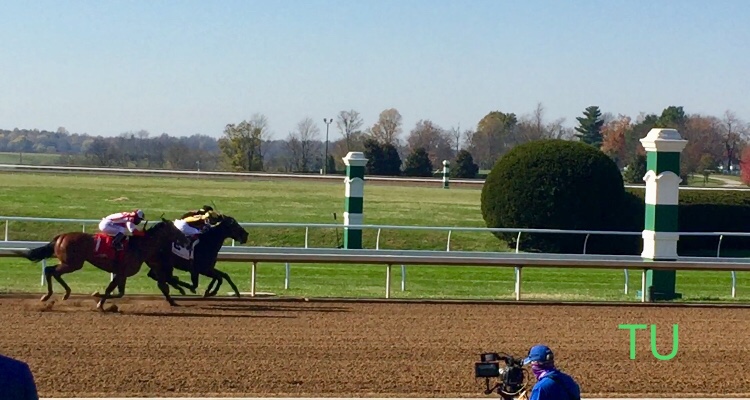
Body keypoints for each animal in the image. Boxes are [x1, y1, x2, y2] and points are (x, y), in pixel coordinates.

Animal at [14, 219, 189, 310]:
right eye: (175, 229)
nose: (186, 239)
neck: (139, 246)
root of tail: (61, 236)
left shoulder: (122, 273)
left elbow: (118, 292)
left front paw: (100, 300)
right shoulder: (122, 272)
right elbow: (112, 290)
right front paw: (98, 300)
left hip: (70, 263)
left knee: (52, 271)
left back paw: (61, 294)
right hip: (73, 263)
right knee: (51, 270)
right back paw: (53, 295)